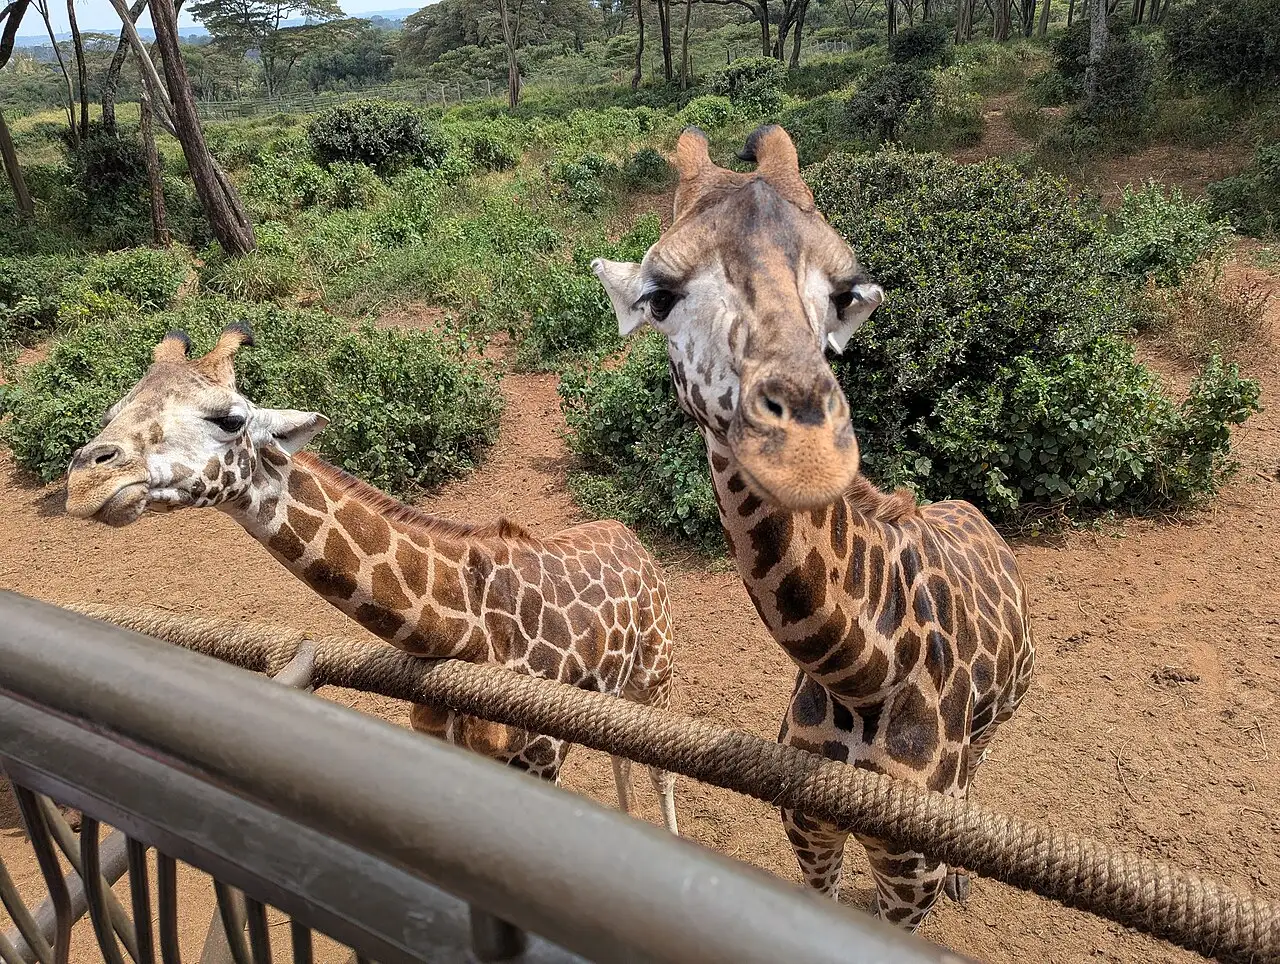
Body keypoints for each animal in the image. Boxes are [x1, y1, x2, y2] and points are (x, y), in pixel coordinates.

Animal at [62, 323, 678, 833]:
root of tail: (632, 538)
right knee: (626, 756)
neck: (467, 632)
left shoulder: (543, 753)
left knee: (659, 770)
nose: (84, 482)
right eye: (114, 409)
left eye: (230, 419)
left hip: (656, 676)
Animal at [592, 125, 1035, 929]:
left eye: (842, 296)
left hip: (1002, 714)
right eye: (659, 298)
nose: (805, 452)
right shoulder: (807, 826)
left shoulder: (907, 872)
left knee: (978, 770)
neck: (863, 674)